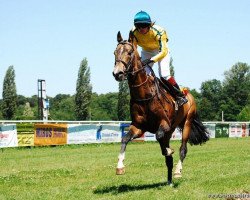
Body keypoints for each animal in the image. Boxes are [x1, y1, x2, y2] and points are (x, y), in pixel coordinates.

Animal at [112, 31, 209, 186]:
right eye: (115, 52)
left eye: (129, 52)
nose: (117, 73)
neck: (144, 95)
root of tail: (189, 93)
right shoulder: (139, 127)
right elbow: (125, 139)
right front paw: (120, 166)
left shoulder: (164, 123)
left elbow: (159, 137)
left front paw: (169, 152)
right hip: (170, 130)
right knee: (168, 155)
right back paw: (169, 181)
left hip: (187, 122)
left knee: (183, 148)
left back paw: (177, 171)